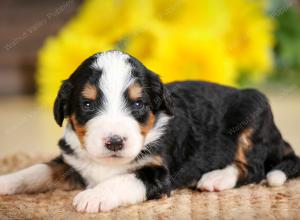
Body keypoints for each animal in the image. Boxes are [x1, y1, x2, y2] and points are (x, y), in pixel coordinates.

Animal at [0, 50, 300, 212]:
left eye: (138, 104)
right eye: (87, 104)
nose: (115, 142)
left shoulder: (158, 173)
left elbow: (123, 180)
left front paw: (93, 196)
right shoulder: (71, 161)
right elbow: (37, 170)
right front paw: (6, 181)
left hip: (254, 114)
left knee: (254, 168)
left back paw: (216, 178)